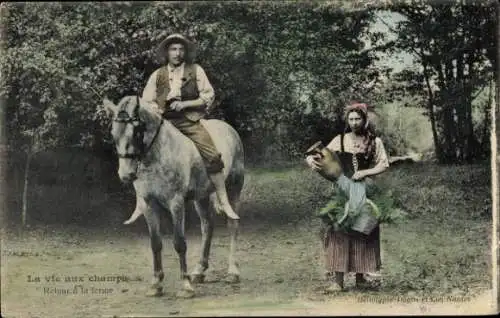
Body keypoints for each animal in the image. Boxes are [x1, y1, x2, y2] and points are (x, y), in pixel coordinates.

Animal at [102, 95, 243, 298]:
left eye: (136, 132)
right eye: (114, 134)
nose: (126, 174)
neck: (157, 155)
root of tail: (229, 129)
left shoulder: (176, 203)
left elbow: (179, 243)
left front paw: (186, 286)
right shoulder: (149, 204)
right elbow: (155, 243)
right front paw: (156, 284)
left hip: (234, 188)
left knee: (233, 224)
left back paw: (232, 272)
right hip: (201, 197)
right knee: (207, 226)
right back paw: (199, 271)